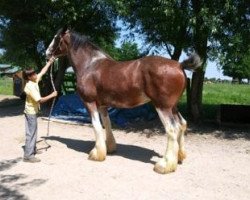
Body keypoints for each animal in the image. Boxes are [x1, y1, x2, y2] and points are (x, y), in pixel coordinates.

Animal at [45, 26, 201, 173]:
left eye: (56, 37)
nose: (47, 53)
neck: (90, 65)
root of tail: (179, 65)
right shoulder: (102, 105)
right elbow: (106, 124)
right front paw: (109, 148)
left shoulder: (89, 103)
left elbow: (96, 126)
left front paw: (96, 154)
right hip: (172, 106)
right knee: (182, 124)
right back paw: (179, 157)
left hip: (162, 107)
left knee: (172, 129)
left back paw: (164, 165)